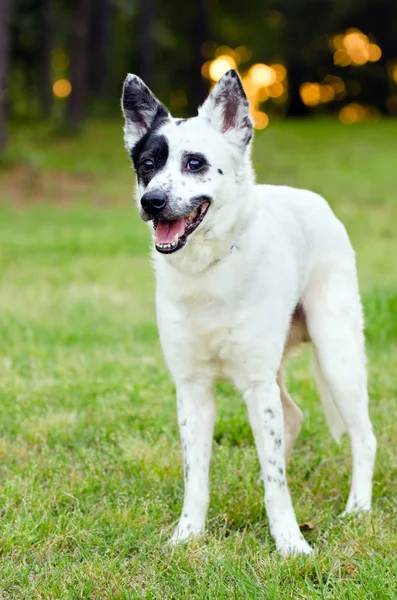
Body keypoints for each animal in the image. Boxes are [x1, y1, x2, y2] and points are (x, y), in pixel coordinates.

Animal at [120, 68, 374, 556]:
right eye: (147, 165)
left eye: (194, 163)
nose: (151, 202)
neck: (209, 270)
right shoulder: (193, 389)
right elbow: (196, 476)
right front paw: (187, 536)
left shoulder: (257, 384)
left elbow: (276, 480)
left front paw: (290, 543)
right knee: (292, 419)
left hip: (338, 356)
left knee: (363, 437)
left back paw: (358, 509)